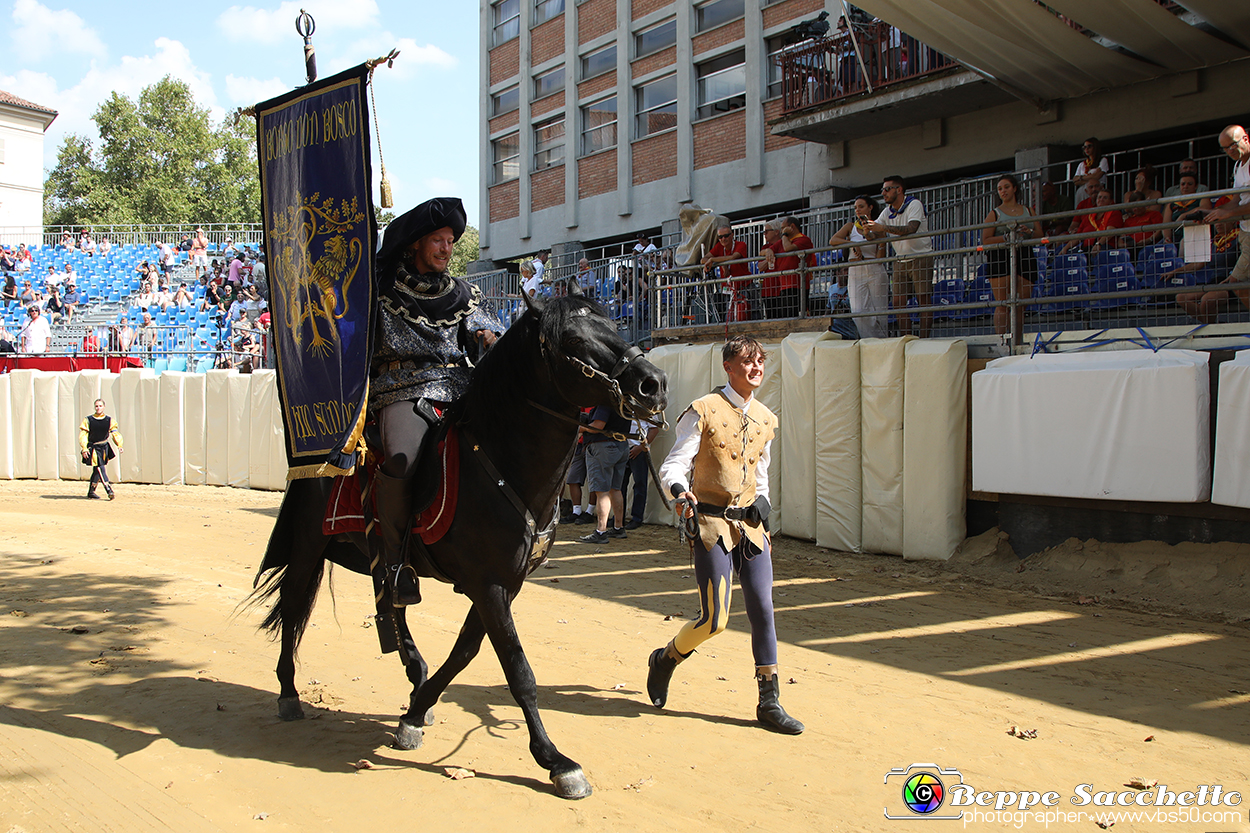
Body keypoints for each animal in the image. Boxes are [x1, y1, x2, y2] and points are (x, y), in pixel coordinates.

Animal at [248, 288, 670, 795]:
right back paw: (289, 693)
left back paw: (413, 670)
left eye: (613, 323)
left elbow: (465, 653)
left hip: (376, 556)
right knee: (294, 607)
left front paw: (415, 714)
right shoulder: (489, 585)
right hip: (309, 545)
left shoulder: (502, 585)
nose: (653, 385)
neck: (500, 462)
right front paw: (556, 761)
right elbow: (518, 670)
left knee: (390, 602)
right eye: (572, 338)